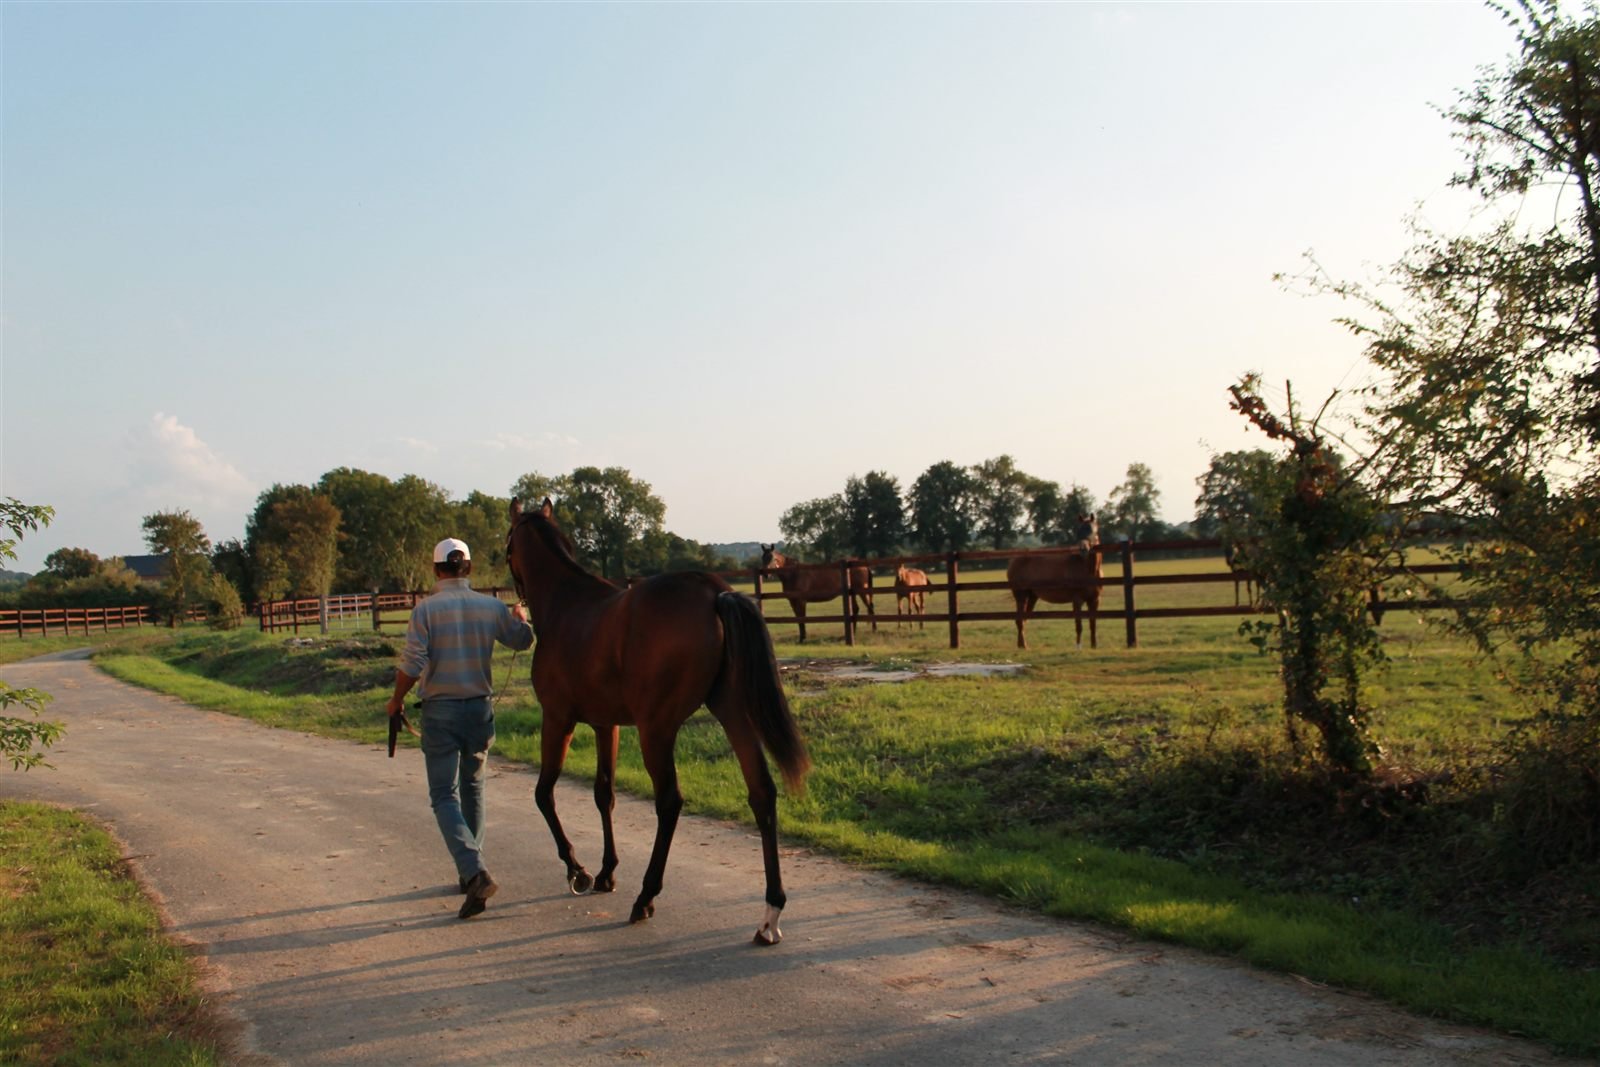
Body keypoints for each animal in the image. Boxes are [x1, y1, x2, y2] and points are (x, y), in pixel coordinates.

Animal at [506, 498, 810, 945]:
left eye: (508, 544)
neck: (567, 604)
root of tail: (715, 592)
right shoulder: (606, 725)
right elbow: (603, 793)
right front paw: (606, 872)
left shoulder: (558, 719)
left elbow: (544, 794)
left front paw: (577, 870)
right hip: (731, 711)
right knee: (762, 792)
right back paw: (770, 913)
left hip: (657, 729)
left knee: (669, 801)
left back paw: (646, 897)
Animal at [1004, 514, 1102, 650]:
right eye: (1078, 531)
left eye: (1091, 530)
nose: (1083, 549)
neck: (1088, 569)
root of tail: (1013, 560)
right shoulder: (1077, 600)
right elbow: (1079, 625)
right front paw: (1078, 647)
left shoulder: (1094, 600)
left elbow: (1093, 624)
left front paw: (1094, 646)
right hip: (1021, 596)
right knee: (1019, 620)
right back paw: (1023, 646)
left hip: (1032, 597)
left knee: (1022, 620)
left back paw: (1021, 645)